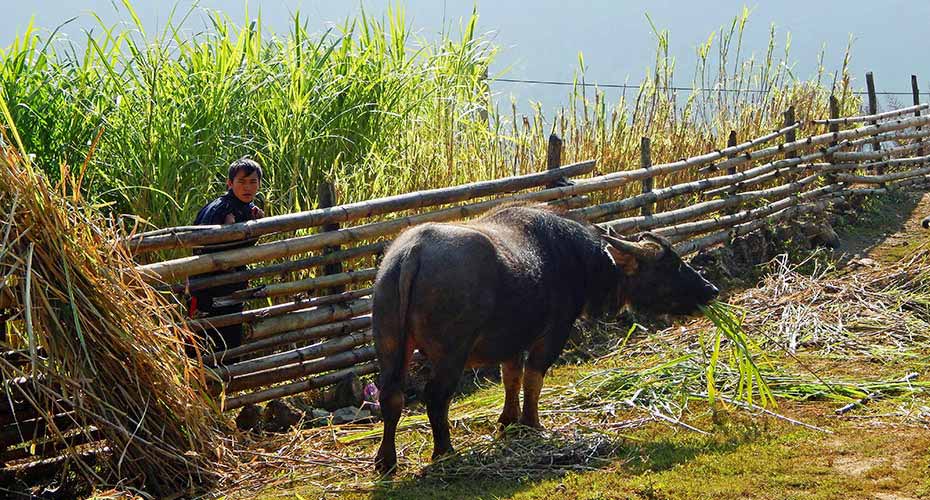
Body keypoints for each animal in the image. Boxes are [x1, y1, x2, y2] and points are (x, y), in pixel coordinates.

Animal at [370, 203, 716, 472]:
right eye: (672, 266)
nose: (710, 289)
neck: (578, 259)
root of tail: (413, 251)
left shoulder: (512, 340)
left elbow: (511, 378)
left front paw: (508, 422)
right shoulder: (553, 334)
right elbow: (533, 378)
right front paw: (532, 423)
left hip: (389, 345)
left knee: (391, 396)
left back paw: (386, 461)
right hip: (451, 353)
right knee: (436, 397)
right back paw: (445, 452)